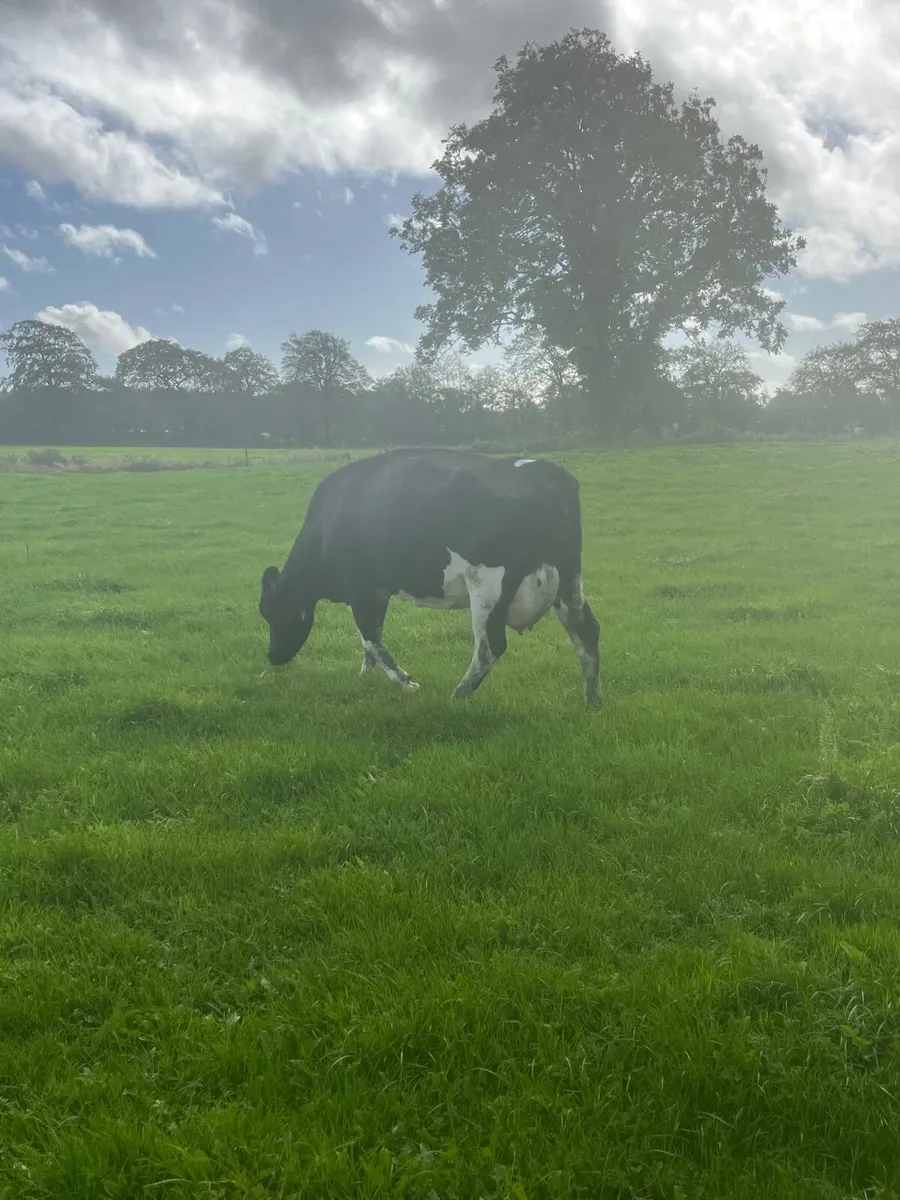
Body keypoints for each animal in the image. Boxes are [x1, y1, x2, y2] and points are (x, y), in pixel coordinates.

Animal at [258, 448, 601, 705]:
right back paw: (593, 701)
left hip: (487, 584)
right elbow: (372, 637)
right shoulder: (378, 591)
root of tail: (550, 476)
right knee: (586, 630)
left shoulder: (359, 586)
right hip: (569, 581)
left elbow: (369, 637)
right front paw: (365, 676)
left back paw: (457, 696)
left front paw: (404, 682)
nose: (272, 656)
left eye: (270, 611)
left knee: (489, 647)